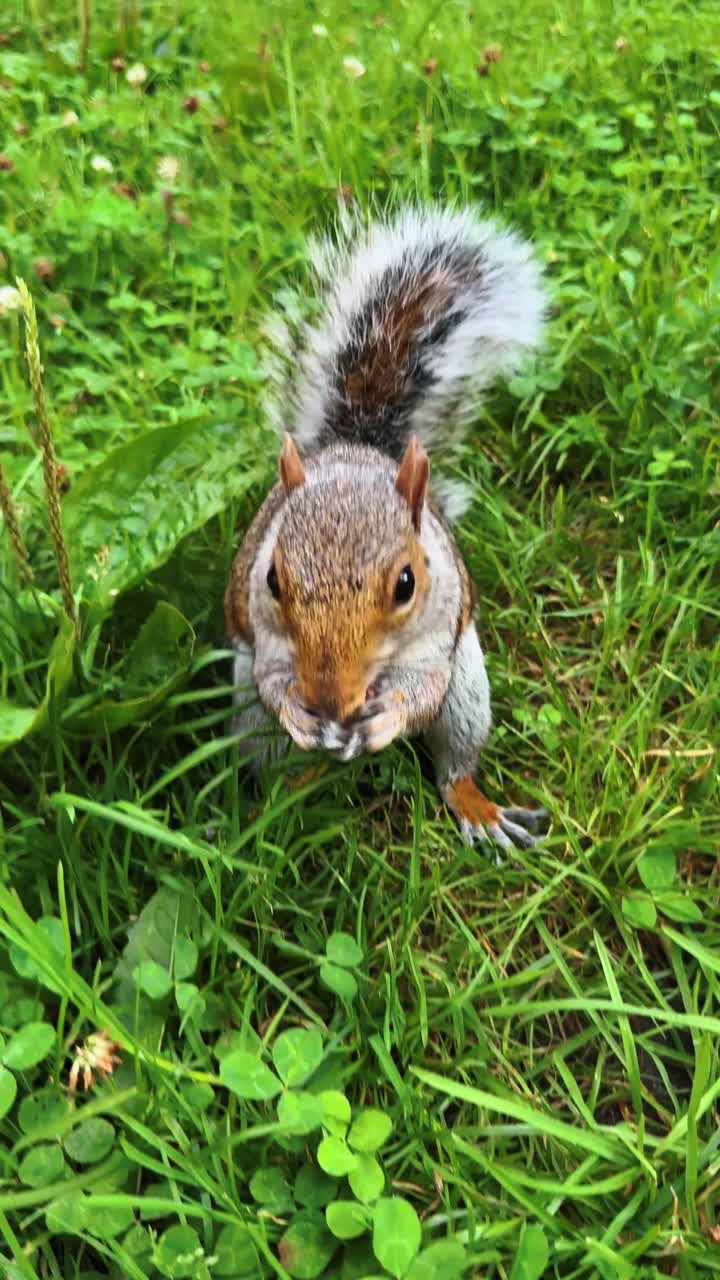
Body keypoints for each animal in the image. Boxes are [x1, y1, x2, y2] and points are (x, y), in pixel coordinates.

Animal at [224, 204, 549, 852]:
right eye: (271, 579)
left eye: (406, 584)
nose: (329, 699)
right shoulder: (265, 643)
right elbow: (274, 683)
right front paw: (299, 712)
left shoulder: (438, 636)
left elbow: (421, 693)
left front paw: (388, 719)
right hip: (246, 711)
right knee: (275, 762)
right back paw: (282, 802)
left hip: (469, 691)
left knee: (456, 761)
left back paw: (477, 808)